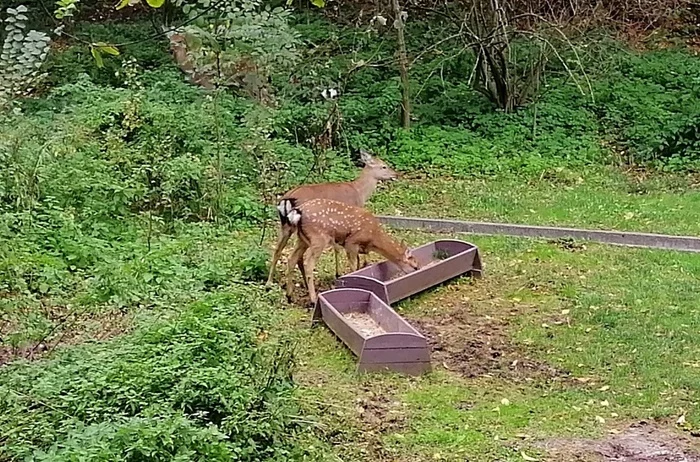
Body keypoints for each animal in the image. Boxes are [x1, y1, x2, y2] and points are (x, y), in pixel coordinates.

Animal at [266, 150, 400, 284]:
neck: (359, 192)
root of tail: (287, 199)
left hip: (285, 226)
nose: (396, 174)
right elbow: (339, 248)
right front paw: (343, 272)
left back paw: (270, 282)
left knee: (278, 250)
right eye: (384, 166)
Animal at [284, 198, 422, 304]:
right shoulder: (351, 242)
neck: (373, 238)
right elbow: (353, 267)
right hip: (318, 239)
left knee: (291, 259)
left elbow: (360, 265)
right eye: (414, 266)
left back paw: (289, 296)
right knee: (308, 264)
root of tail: (298, 212)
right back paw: (313, 300)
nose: (419, 269)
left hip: (302, 239)